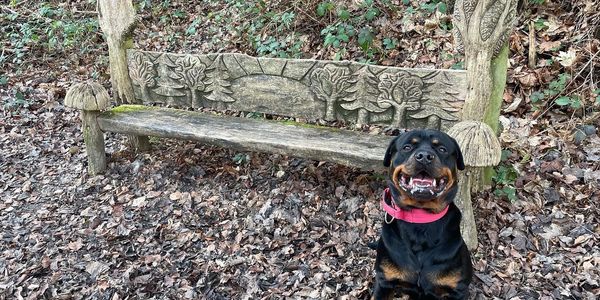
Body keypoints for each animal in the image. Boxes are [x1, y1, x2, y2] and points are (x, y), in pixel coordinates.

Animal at [370, 129, 474, 300]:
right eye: (407, 147)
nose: (424, 156)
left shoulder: (457, 290)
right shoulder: (385, 282)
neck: (420, 217)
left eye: (442, 149)